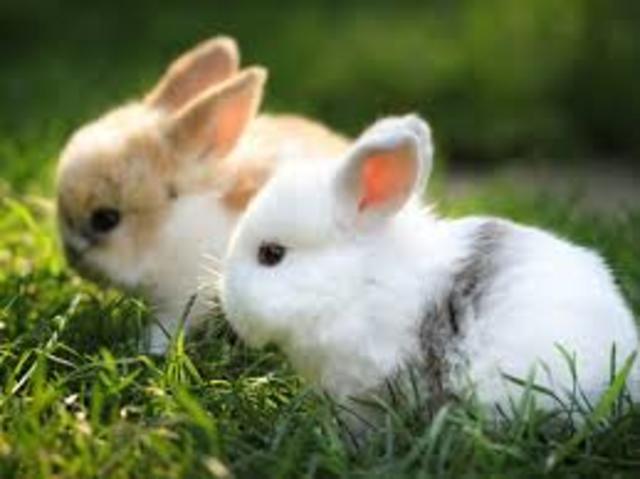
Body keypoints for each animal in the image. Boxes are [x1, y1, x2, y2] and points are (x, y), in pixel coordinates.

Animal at [56, 36, 349, 354]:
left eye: (106, 219)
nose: (72, 257)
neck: (171, 224)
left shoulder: (184, 296)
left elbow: (167, 327)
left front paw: (146, 350)